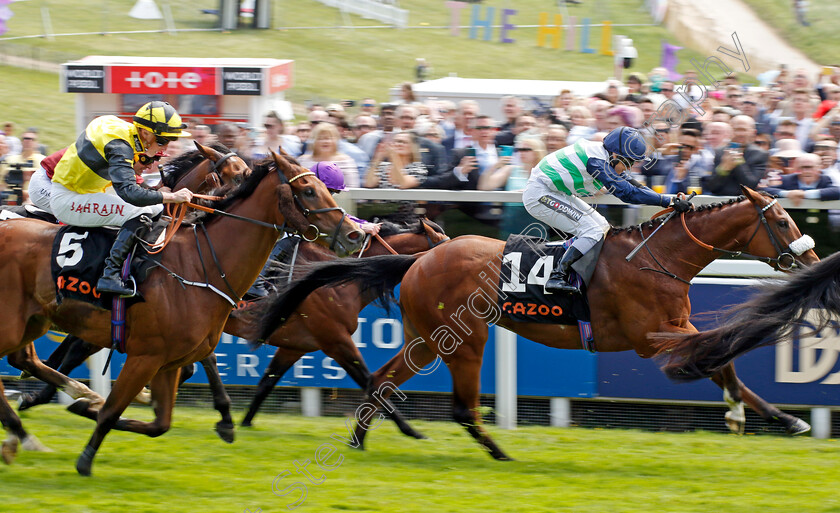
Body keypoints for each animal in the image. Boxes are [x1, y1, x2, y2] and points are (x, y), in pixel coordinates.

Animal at [0, 150, 360, 474]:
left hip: (32, 322)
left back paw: (33, 424)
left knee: (24, 359)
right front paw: (85, 454)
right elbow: (113, 407)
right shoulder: (144, 355)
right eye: (309, 190)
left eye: (323, 188)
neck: (199, 265)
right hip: (14, 325)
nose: (354, 234)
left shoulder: (168, 359)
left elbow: (160, 420)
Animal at [258, 186, 820, 458]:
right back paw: (498, 453)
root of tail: (419, 258)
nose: (811, 258)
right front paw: (771, 417)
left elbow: (723, 362)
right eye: (782, 219)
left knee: (380, 379)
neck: (657, 258)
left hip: (425, 337)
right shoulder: (652, 337)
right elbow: (720, 358)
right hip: (464, 338)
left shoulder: (673, 331)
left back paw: (360, 439)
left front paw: (768, 418)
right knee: (460, 406)